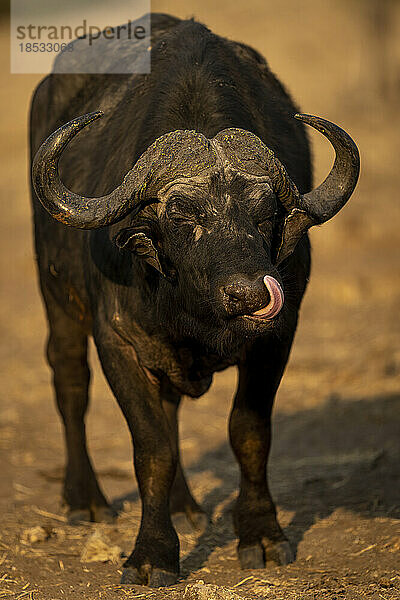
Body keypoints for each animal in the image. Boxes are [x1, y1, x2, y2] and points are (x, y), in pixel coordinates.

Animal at [28, 12, 360, 584]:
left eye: (264, 215)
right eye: (184, 217)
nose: (249, 294)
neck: (192, 314)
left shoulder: (279, 335)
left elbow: (248, 432)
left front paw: (262, 535)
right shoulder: (118, 341)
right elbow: (152, 447)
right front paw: (152, 555)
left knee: (172, 406)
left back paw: (184, 506)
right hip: (56, 297)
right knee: (70, 381)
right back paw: (86, 499)